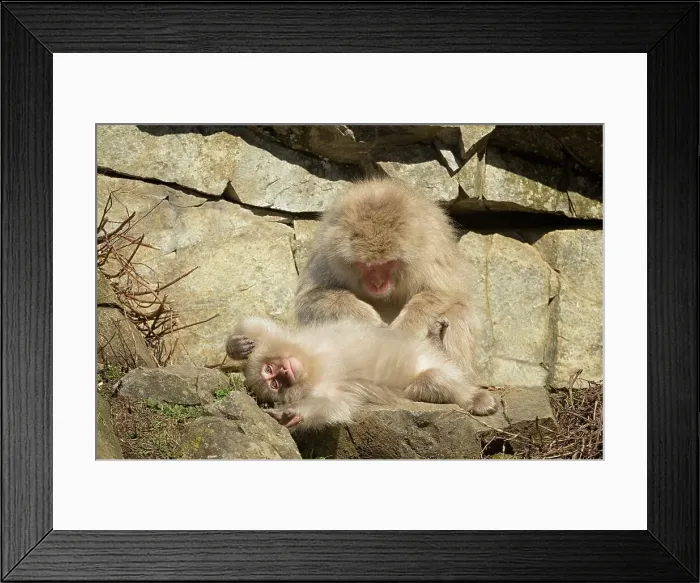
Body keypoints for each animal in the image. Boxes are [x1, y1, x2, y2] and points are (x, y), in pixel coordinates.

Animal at [225, 315, 497, 431]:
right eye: (274, 384)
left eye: (270, 371)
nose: (283, 371)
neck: (310, 364)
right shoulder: (323, 386)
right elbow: (334, 405)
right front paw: (291, 416)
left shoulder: (284, 340)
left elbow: (257, 325)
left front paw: (236, 347)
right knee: (432, 379)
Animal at [293, 176, 495, 412]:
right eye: (365, 266)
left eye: (388, 264)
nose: (378, 283)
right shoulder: (327, 250)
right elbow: (310, 299)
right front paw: (365, 318)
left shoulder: (431, 246)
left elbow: (446, 290)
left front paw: (403, 331)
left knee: (457, 312)